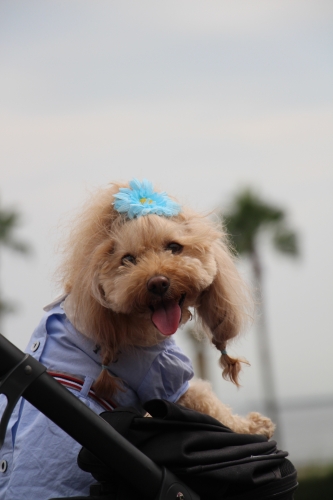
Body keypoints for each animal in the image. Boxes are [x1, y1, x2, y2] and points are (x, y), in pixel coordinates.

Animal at [58, 181, 274, 438]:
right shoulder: (161, 369)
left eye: (174, 247)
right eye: (127, 259)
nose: (157, 283)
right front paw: (253, 426)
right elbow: (208, 403)